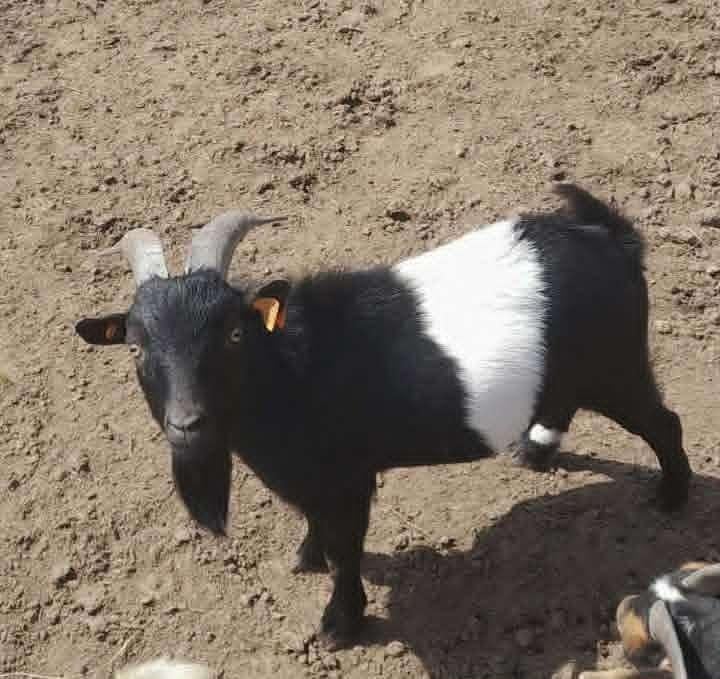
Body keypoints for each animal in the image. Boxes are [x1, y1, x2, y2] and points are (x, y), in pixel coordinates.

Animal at [75, 184, 691, 647]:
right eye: (135, 347)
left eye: (232, 335)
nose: (187, 424)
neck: (292, 369)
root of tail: (614, 240)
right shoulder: (312, 478)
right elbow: (316, 525)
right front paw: (306, 558)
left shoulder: (347, 479)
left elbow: (346, 550)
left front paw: (339, 626)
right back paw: (535, 450)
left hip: (616, 368)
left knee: (664, 423)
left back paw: (671, 500)